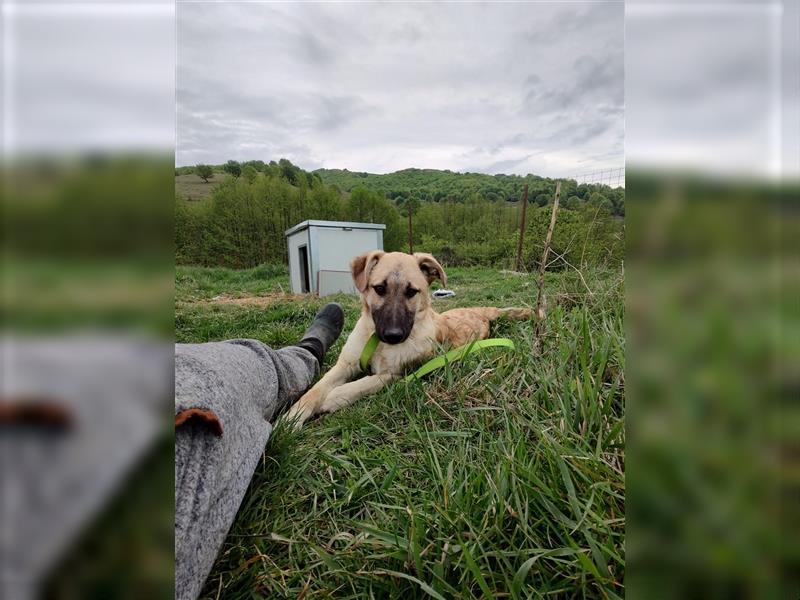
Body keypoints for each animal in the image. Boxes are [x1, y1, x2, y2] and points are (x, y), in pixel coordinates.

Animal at [284, 248, 528, 426]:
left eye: (412, 292)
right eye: (379, 288)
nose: (393, 335)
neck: (377, 343)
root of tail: (484, 311)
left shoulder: (394, 374)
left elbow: (363, 383)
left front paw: (335, 397)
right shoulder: (344, 364)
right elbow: (314, 390)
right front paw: (292, 417)